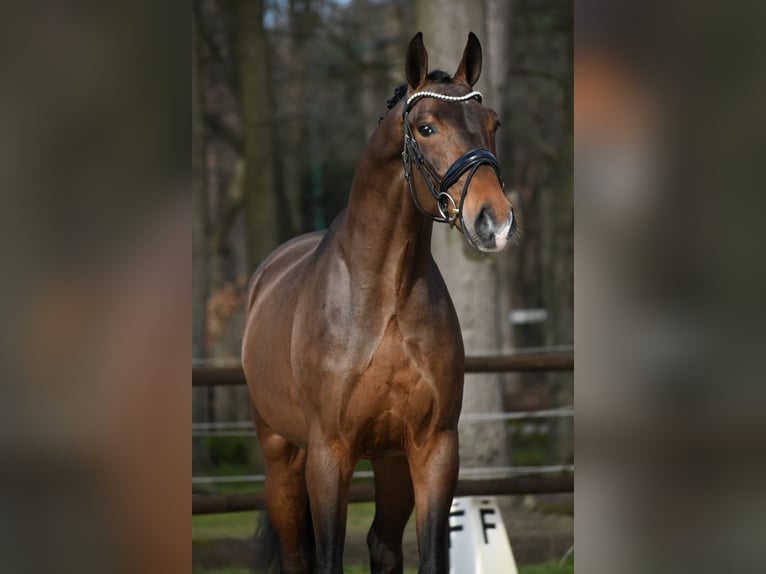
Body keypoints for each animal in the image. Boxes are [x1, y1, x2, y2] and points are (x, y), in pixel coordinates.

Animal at [242, 31, 516, 574]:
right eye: (426, 127)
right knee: (297, 554)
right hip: (282, 455)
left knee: (383, 545)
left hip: (390, 465)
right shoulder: (330, 454)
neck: (384, 299)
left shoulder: (433, 448)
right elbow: (327, 558)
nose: (494, 221)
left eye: (492, 122)